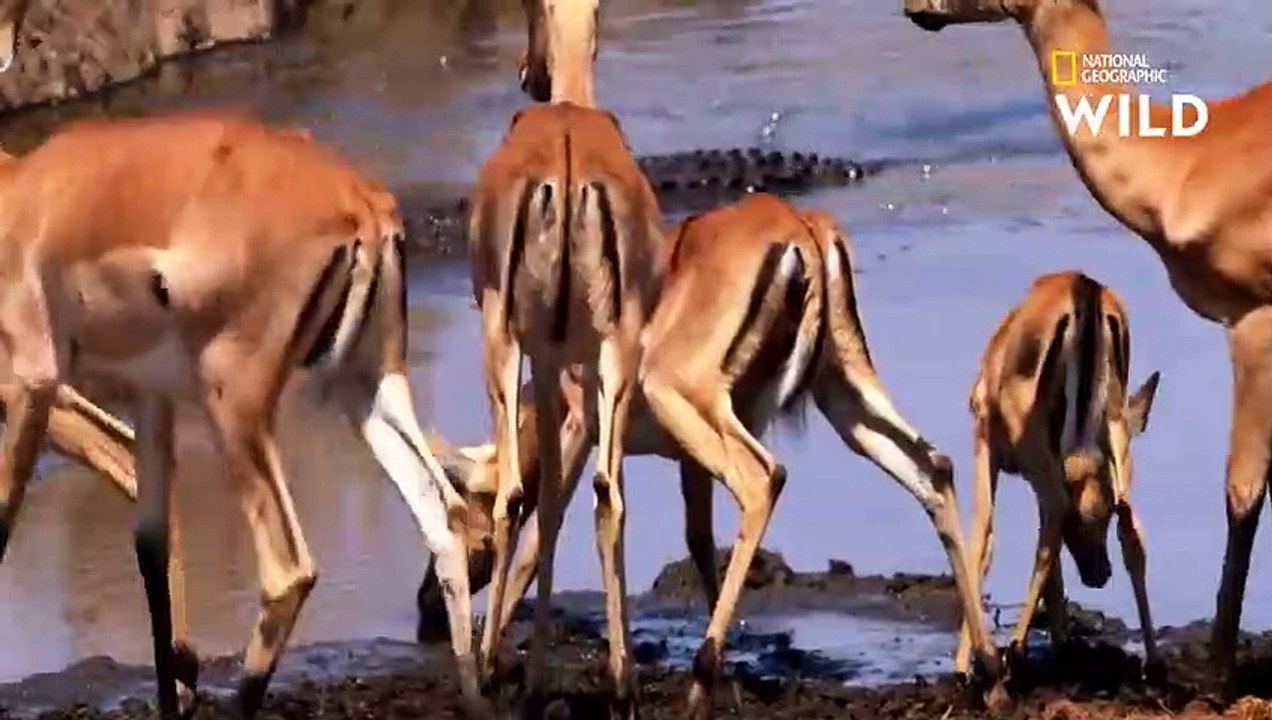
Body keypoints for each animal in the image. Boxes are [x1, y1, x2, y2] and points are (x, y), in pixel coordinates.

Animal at [0, 113, 484, 718]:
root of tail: (361, 202)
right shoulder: (151, 396)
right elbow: (150, 545)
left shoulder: (29, 383)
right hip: (369, 388)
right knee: (446, 517)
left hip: (235, 409)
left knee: (288, 570)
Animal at [431, 193, 1004, 716]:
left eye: (462, 512)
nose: (428, 609)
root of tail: (800, 226)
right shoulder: (683, 460)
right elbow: (697, 541)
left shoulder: (581, 430)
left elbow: (543, 529)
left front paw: (496, 667)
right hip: (842, 394)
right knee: (933, 468)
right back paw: (990, 674)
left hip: (688, 398)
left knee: (765, 479)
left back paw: (700, 679)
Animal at [957, 271, 1161, 677]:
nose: (1099, 573)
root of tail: (1085, 288)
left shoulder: (987, 446)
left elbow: (982, 536)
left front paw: (965, 664)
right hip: (1115, 434)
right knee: (1131, 529)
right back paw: (1154, 663)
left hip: (1036, 453)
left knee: (1048, 521)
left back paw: (1013, 653)